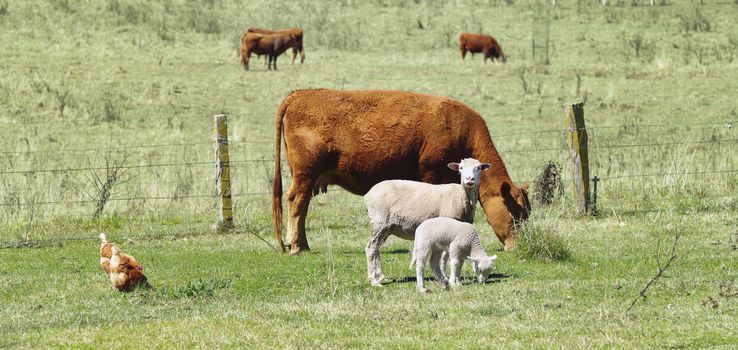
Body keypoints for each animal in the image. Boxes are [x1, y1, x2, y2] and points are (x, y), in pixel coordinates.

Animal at [270, 89, 528, 256]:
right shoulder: (432, 174)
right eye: (515, 216)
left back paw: (303, 245)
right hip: (305, 175)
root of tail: (300, 94)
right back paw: (296, 247)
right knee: (297, 203)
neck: (460, 128)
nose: (518, 246)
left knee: (302, 207)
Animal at [362, 157, 488, 286]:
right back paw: (374, 280)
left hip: (386, 227)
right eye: (461, 168)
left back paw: (381, 276)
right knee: (371, 247)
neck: (461, 196)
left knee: (376, 247)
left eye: (478, 168)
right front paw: (445, 276)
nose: (469, 179)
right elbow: (444, 256)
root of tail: (368, 194)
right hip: (380, 221)